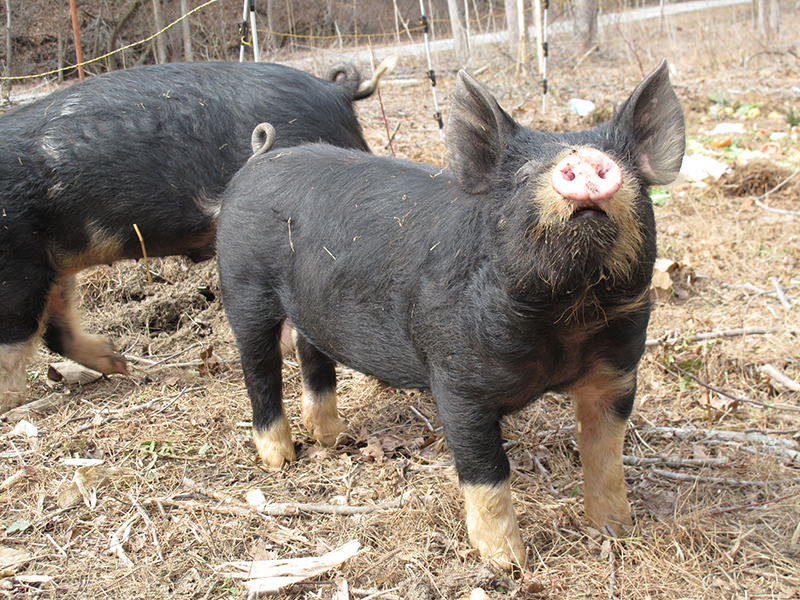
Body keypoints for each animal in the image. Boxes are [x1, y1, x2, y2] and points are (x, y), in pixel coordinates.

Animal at [0, 56, 394, 412]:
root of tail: (334, 90)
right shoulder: (51, 265)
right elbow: (56, 329)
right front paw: (118, 362)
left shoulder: (17, 265)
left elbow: (13, 339)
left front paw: (8, 404)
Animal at [216, 62, 684, 572]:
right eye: (522, 176)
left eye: (634, 173)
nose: (585, 159)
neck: (567, 317)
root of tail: (258, 158)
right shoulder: (456, 379)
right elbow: (487, 473)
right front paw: (508, 564)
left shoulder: (617, 373)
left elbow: (606, 456)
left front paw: (616, 531)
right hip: (243, 287)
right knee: (258, 367)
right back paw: (281, 460)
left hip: (310, 304)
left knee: (309, 348)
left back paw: (334, 439)